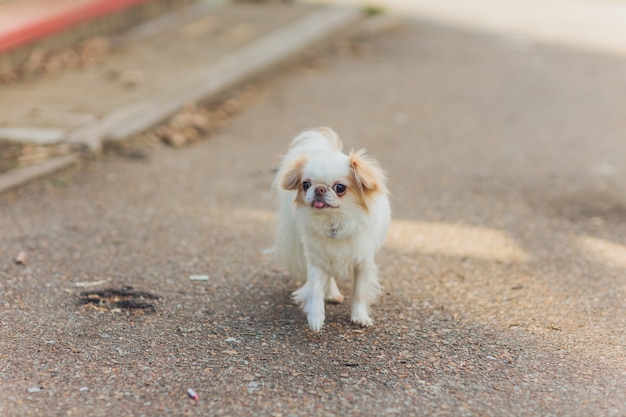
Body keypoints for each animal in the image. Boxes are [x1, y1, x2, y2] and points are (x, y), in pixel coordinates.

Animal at [270, 127, 388, 332]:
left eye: (339, 187)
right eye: (306, 184)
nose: (319, 189)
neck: (334, 222)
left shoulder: (363, 263)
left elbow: (359, 292)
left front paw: (359, 317)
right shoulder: (317, 260)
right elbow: (316, 290)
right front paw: (315, 318)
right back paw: (332, 293)